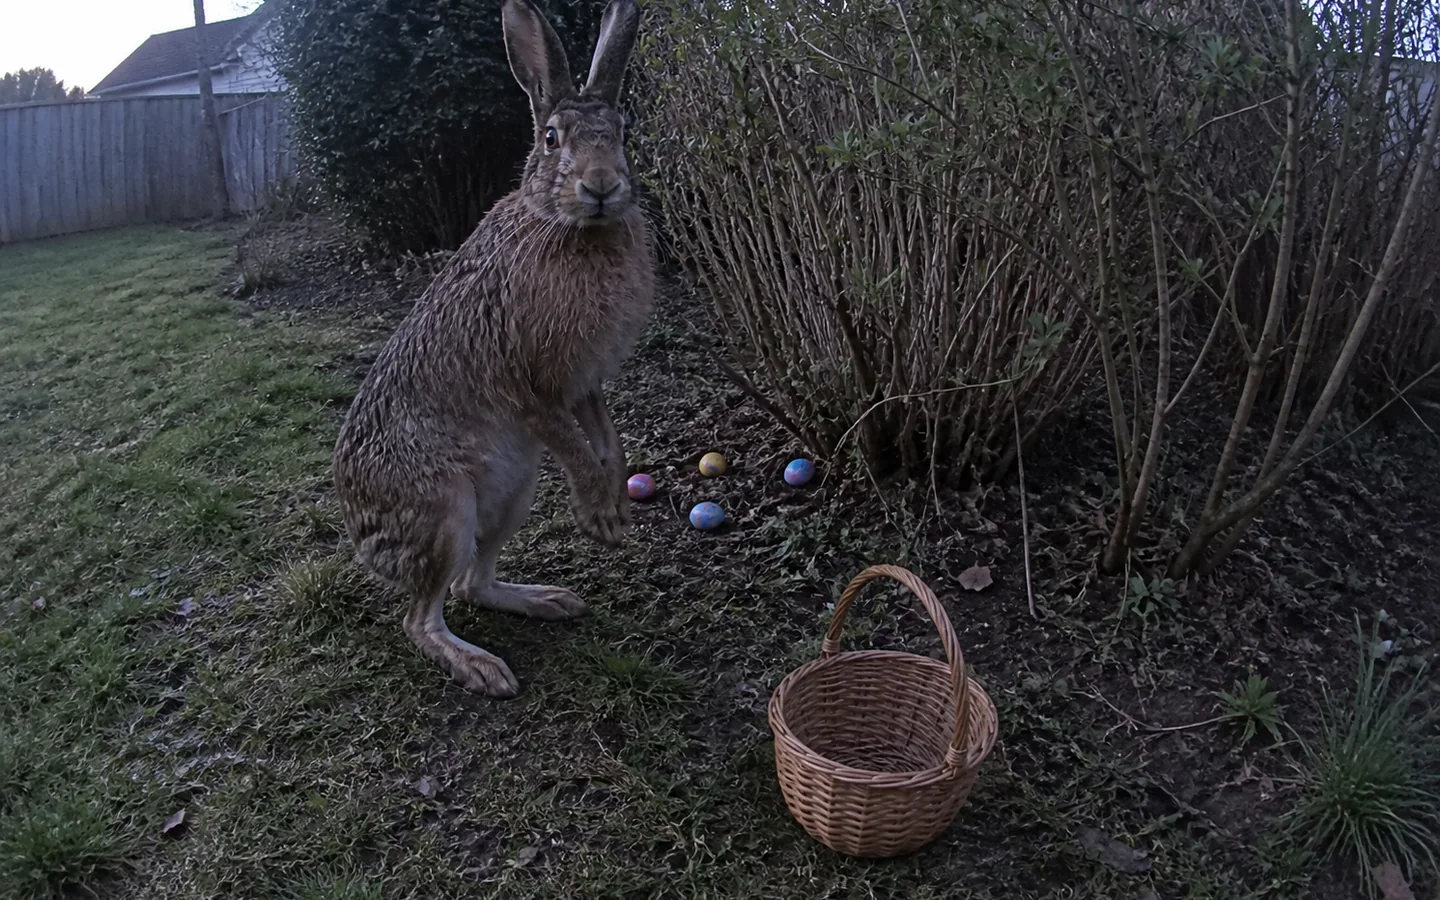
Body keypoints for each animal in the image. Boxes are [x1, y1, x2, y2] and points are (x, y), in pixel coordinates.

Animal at [331, 0, 654, 698]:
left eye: (620, 132)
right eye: (552, 139)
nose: (602, 186)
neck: (566, 227)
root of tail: (362, 541)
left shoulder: (583, 382)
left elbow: (606, 438)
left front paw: (616, 503)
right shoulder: (524, 380)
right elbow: (573, 444)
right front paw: (603, 519)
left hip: (514, 493)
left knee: (471, 585)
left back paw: (550, 601)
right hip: (444, 510)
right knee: (422, 616)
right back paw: (481, 668)